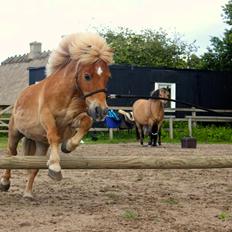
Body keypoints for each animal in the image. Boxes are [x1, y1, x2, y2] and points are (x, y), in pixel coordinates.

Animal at [0, 32, 113, 198]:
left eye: (107, 77)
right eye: (87, 76)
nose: (101, 111)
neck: (68, 95)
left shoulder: (72, 121)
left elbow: (86, 122)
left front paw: (67, 146)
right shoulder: (47, 118)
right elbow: (54, 135)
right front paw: (55, 166)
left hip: (41, 143)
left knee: (34, 167)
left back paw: (28, 193)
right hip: (15, 133)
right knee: (11, 155)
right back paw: (5, 183)